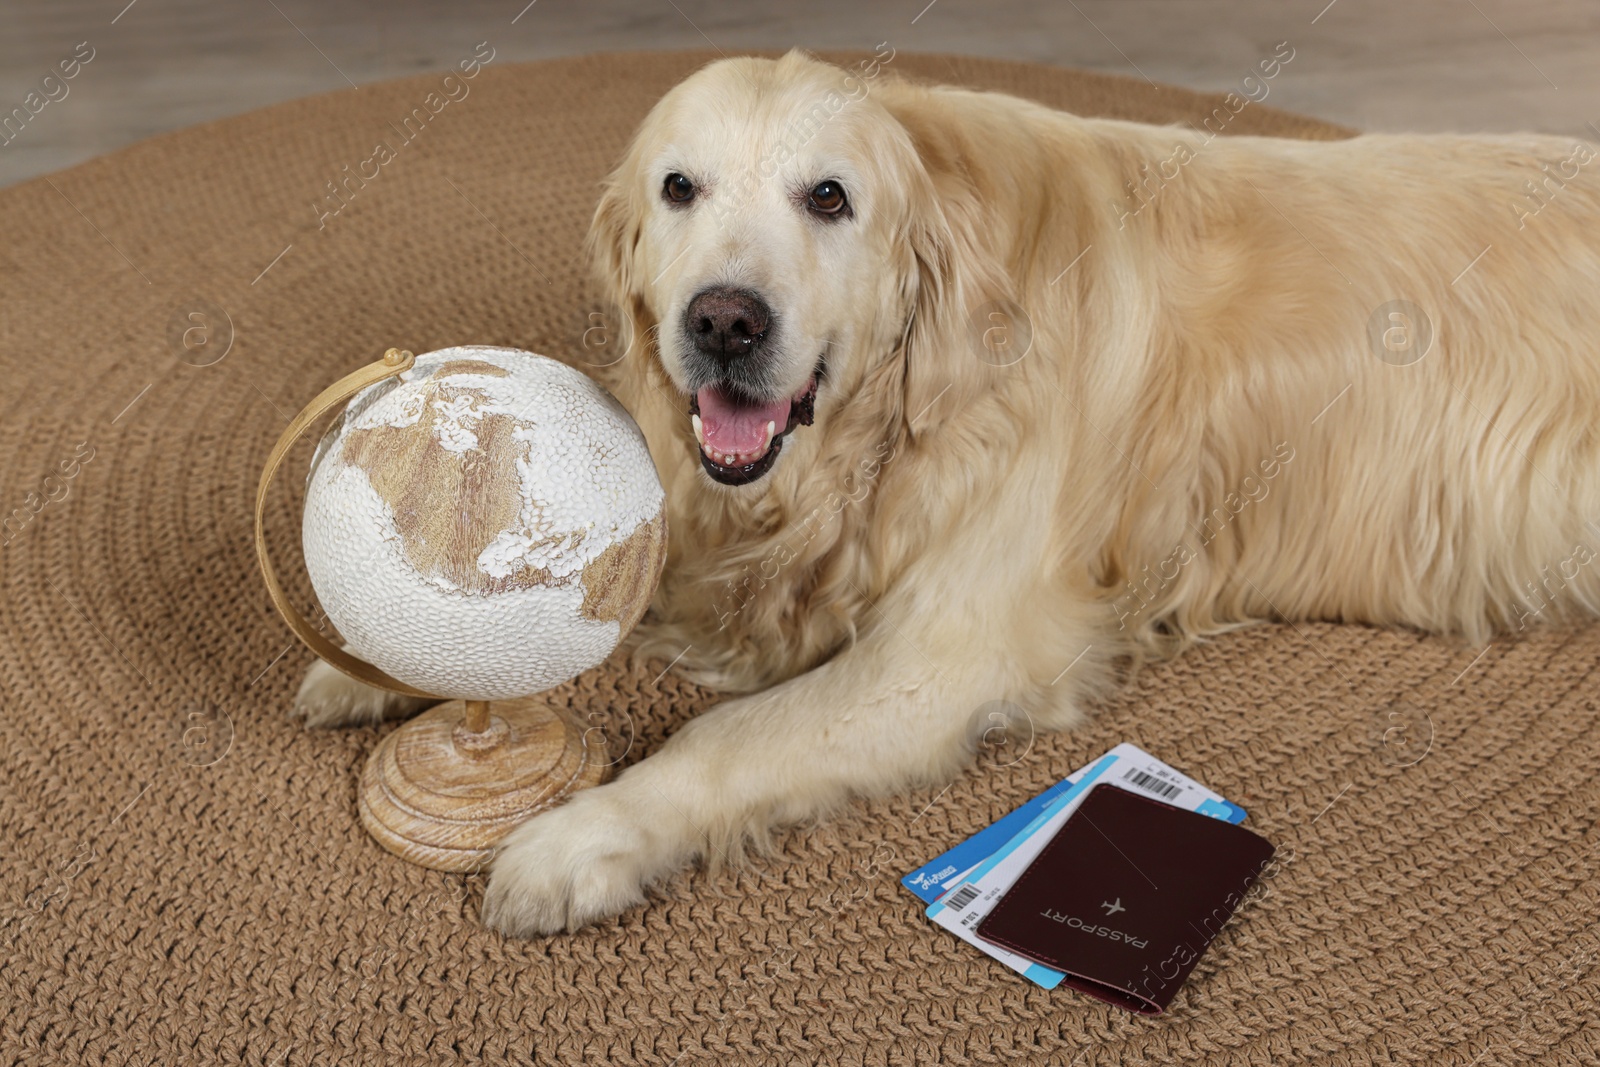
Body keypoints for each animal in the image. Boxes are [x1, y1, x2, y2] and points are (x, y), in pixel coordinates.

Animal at [297, 49, 1600, 934]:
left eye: (828, 197)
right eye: (678, 188)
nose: (723, 323)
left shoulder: (949, 650)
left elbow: (728, 733)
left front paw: (581, 833)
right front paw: (372, 655)